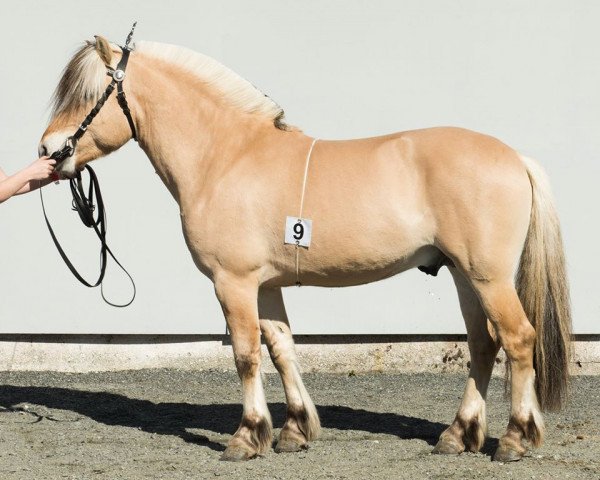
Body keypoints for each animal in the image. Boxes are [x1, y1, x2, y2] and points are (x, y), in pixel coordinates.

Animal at [38, 33, 572, 462]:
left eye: (89, 95)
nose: (48, 151)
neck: (227, 157)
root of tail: (514, 158)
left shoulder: (233, 282)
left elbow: (246, 355)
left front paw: (246, 437)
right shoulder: (266, 284)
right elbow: (282, 349)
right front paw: (294, 431)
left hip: (488, 277)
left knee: (518, 339)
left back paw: (515, 440)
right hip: (464, 275)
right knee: (483, 344)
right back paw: (457, 436)